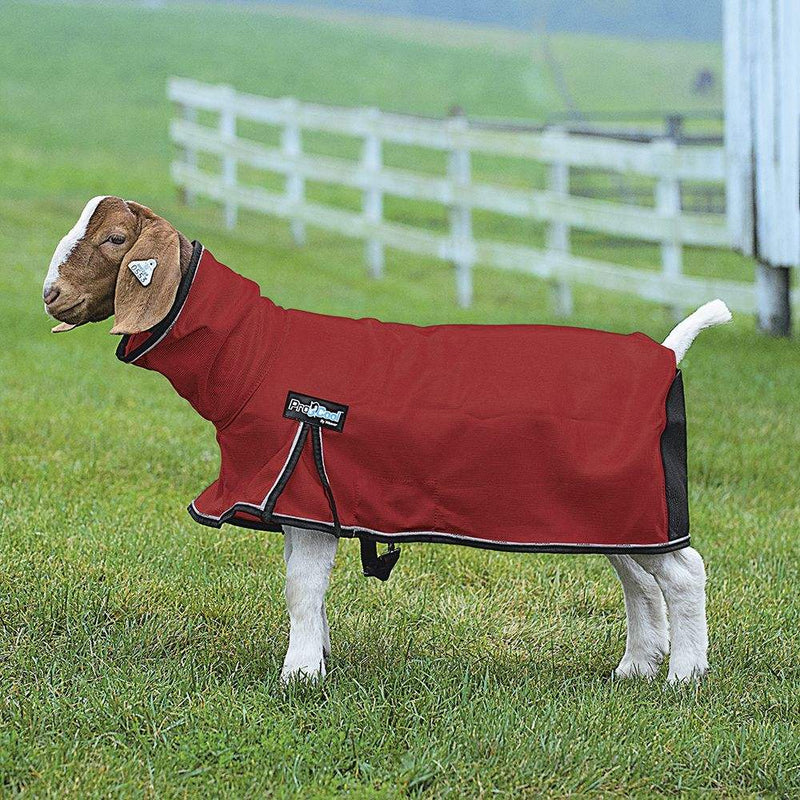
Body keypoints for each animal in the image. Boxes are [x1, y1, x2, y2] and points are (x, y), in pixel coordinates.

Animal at [44, 196, 731, 684]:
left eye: (114, 240)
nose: (50, 294)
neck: (256, 355)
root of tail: (666, 352)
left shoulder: (302, 483)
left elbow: (303, 588)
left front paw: (298, 676)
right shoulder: (297, 501)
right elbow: (305, 587)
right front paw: (317, 659)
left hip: (637, 500)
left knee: (684, 573)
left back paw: (684, 676)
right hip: (618, 509)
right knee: (640, 579)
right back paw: (637, 667)